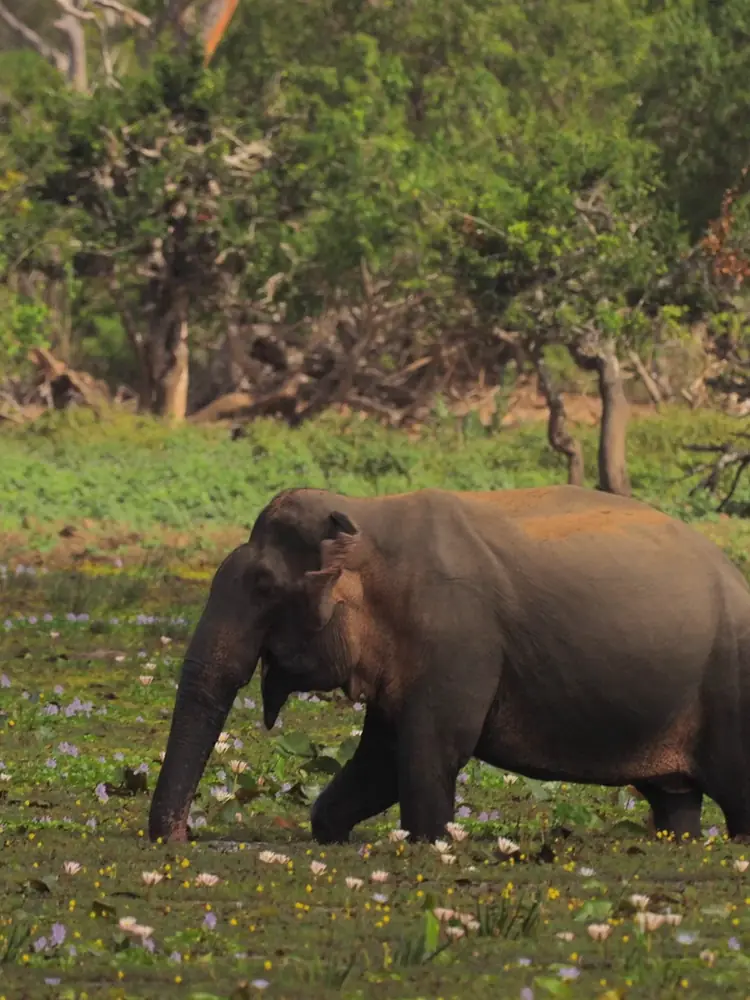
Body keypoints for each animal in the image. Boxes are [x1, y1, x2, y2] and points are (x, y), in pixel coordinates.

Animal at [149, 484, 750, 846]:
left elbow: (431, 752)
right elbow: (380, 759)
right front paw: (332, 831)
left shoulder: (455, 636)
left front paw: (428, 841)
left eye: (264, 585)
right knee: (676, 803)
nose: (180, 838)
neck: (367, 514)